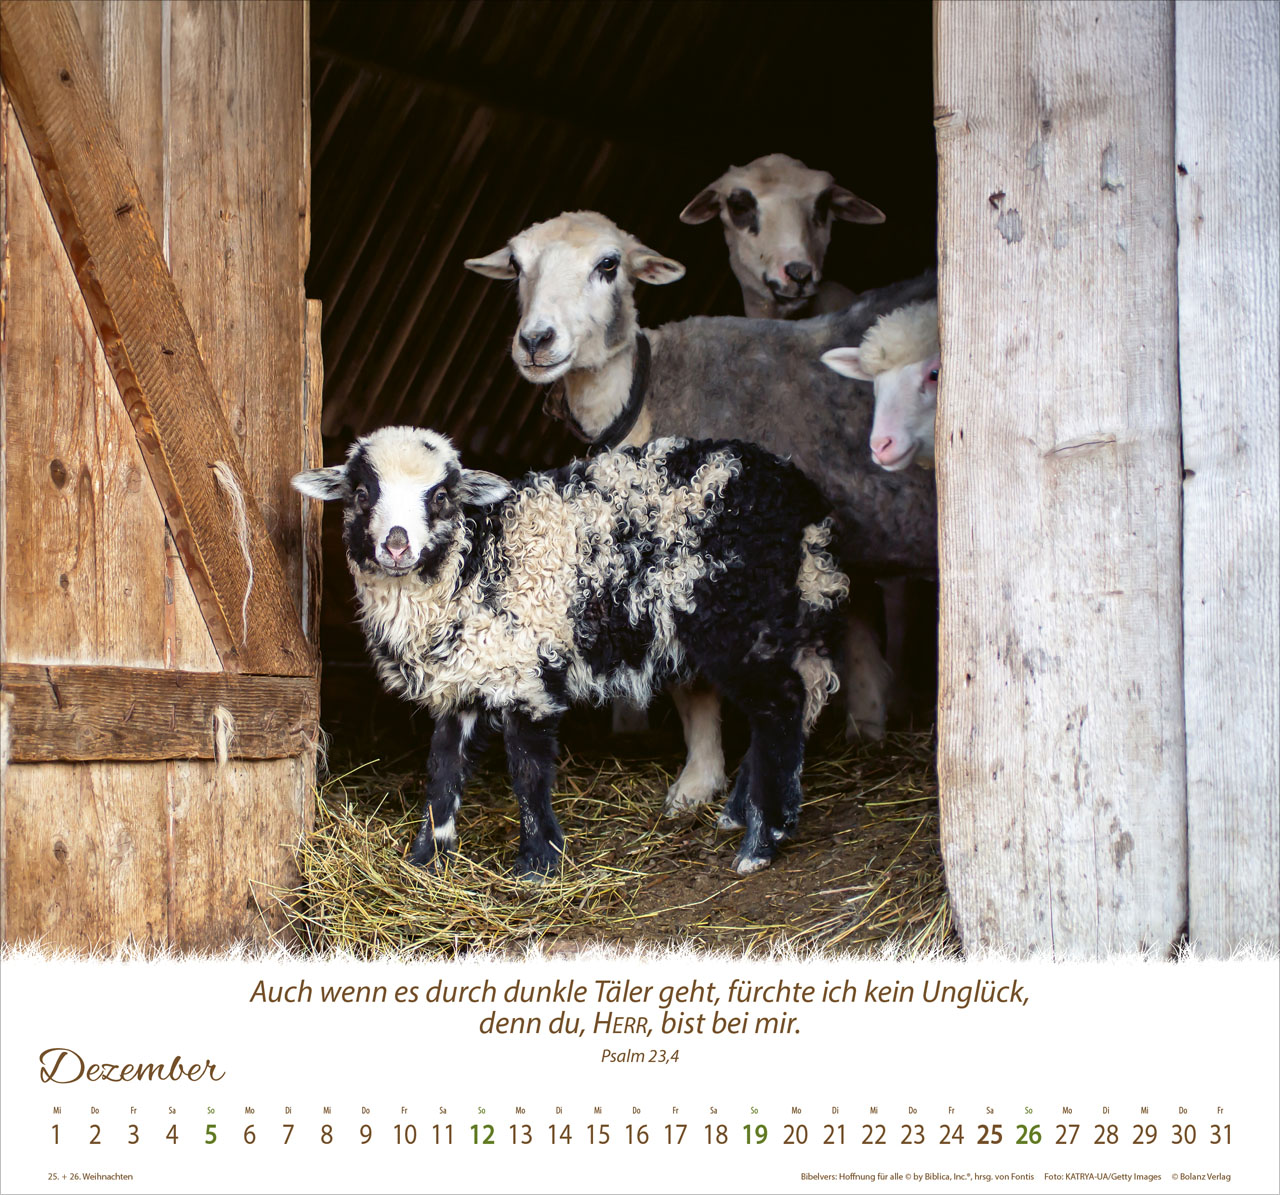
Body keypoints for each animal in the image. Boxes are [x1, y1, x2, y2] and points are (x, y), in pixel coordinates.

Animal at [292, 427, 849, 878]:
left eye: (443, 496)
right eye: (362, 493)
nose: (396, 544)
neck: (474, 561)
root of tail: (798, 495)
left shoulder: (527, 674)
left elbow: (527, 772)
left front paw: (538, 864)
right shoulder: (464, 680)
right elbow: (443, 770)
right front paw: (427, 859)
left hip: (737, 617)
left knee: (782, 705)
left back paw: (762, 842)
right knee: (794, 697)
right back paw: (744, 815)